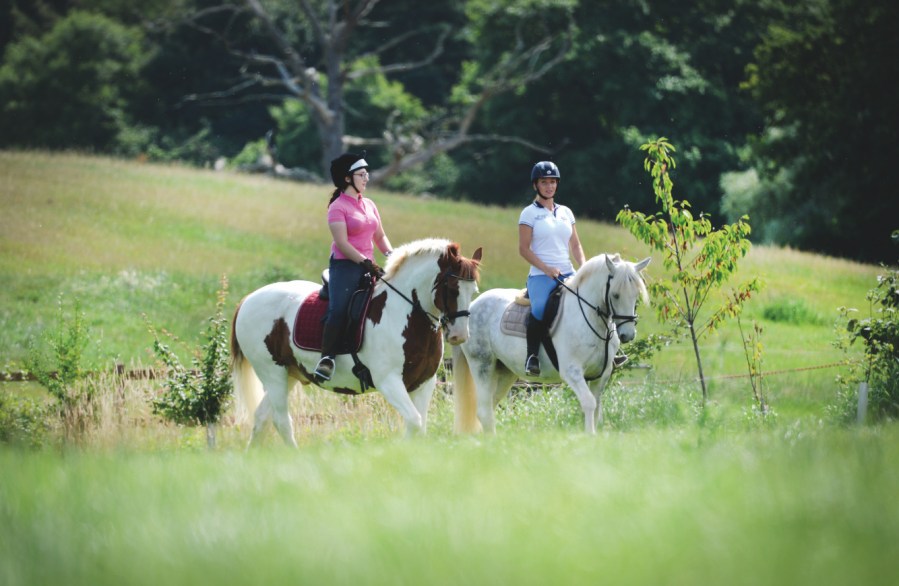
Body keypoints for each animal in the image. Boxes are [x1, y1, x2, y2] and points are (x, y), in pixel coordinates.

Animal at [234, 236, 486, 442]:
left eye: (473, 290)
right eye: (452, 289)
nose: (459, 335)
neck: (407, 313)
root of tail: (248, 299)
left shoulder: (424, 383)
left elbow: (419, 427)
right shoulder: (388, 381)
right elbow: (414, 423)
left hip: (289, 374)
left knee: (262, 417)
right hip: (272, 372)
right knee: (281, 421)